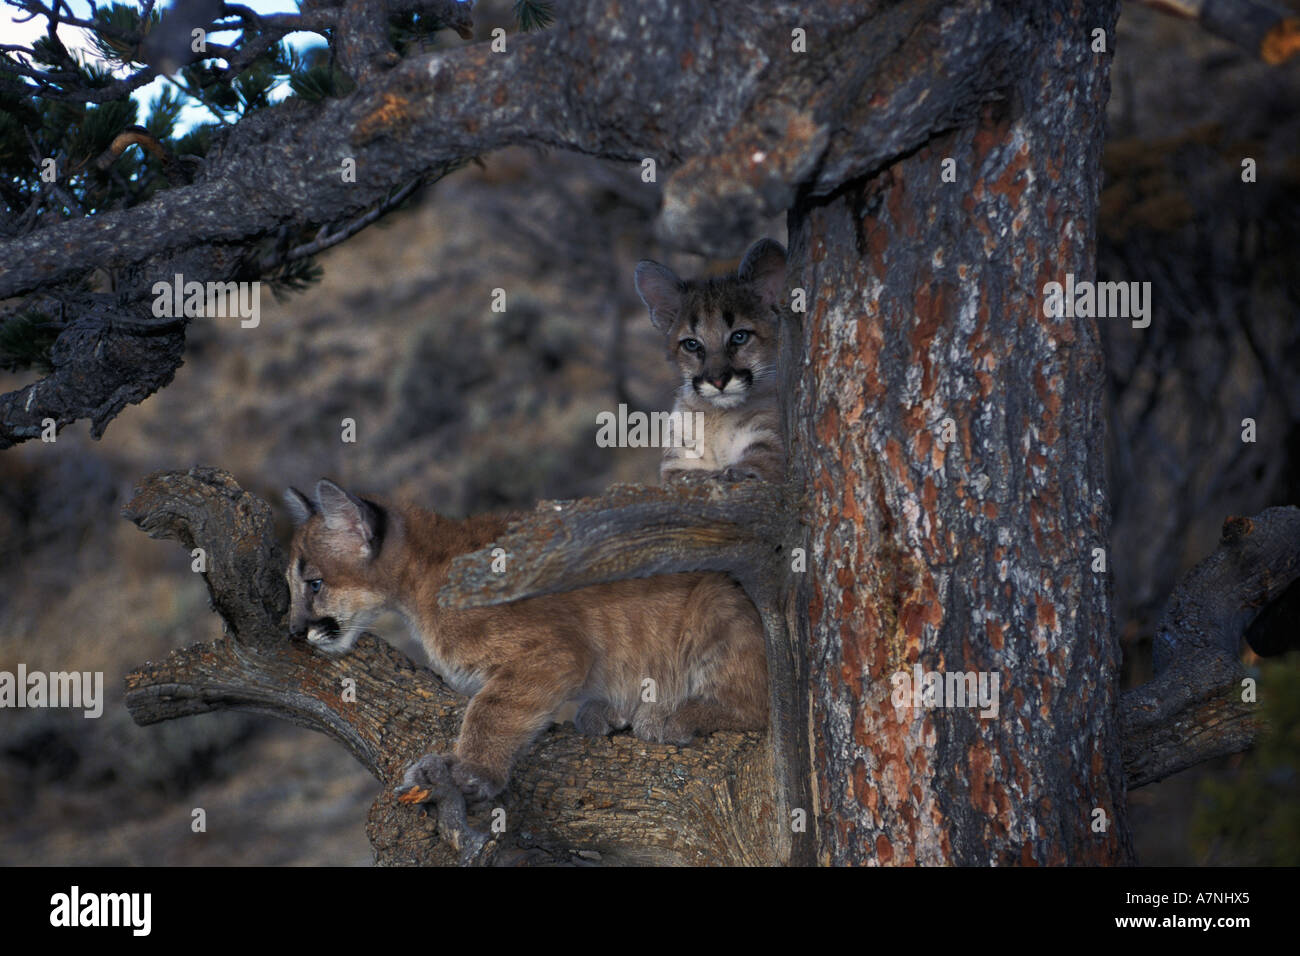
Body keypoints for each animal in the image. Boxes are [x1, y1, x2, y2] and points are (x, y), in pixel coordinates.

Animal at [284, 478, 764, 801]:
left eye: (314, 584)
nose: (293, 629)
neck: (418, 583)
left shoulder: (553, 651)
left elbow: (490, 709)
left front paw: (472, 770)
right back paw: (609, 711)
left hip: (716, 604)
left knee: (759, 702)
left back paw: (669, 715)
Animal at [634, 236, 785, 481]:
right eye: (692, 344)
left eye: (739, 336)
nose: (718, 381)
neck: (718, 416)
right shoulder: (677, 460)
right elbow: (685, 476)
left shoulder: (769, 440)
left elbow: (754, 467)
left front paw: (730, 473)